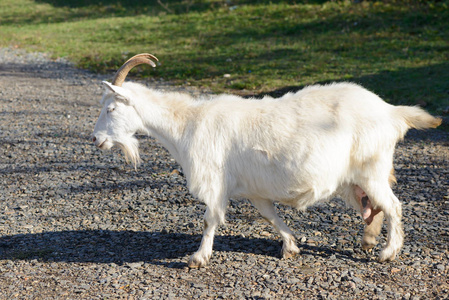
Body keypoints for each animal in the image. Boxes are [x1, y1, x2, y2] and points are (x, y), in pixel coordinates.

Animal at [91, 53, 440, 268]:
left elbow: (209, 219)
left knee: (393, 206)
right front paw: (291, 246)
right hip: (354, 179)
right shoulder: (254, 190)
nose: (95, 139)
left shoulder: (214, 181)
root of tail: (391, 111)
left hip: (372, 169)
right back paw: (369, 241)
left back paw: (387, 252)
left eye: (111, 108)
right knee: (374, 207)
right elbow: (270, 217)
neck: (186, 124)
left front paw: (198, 258)